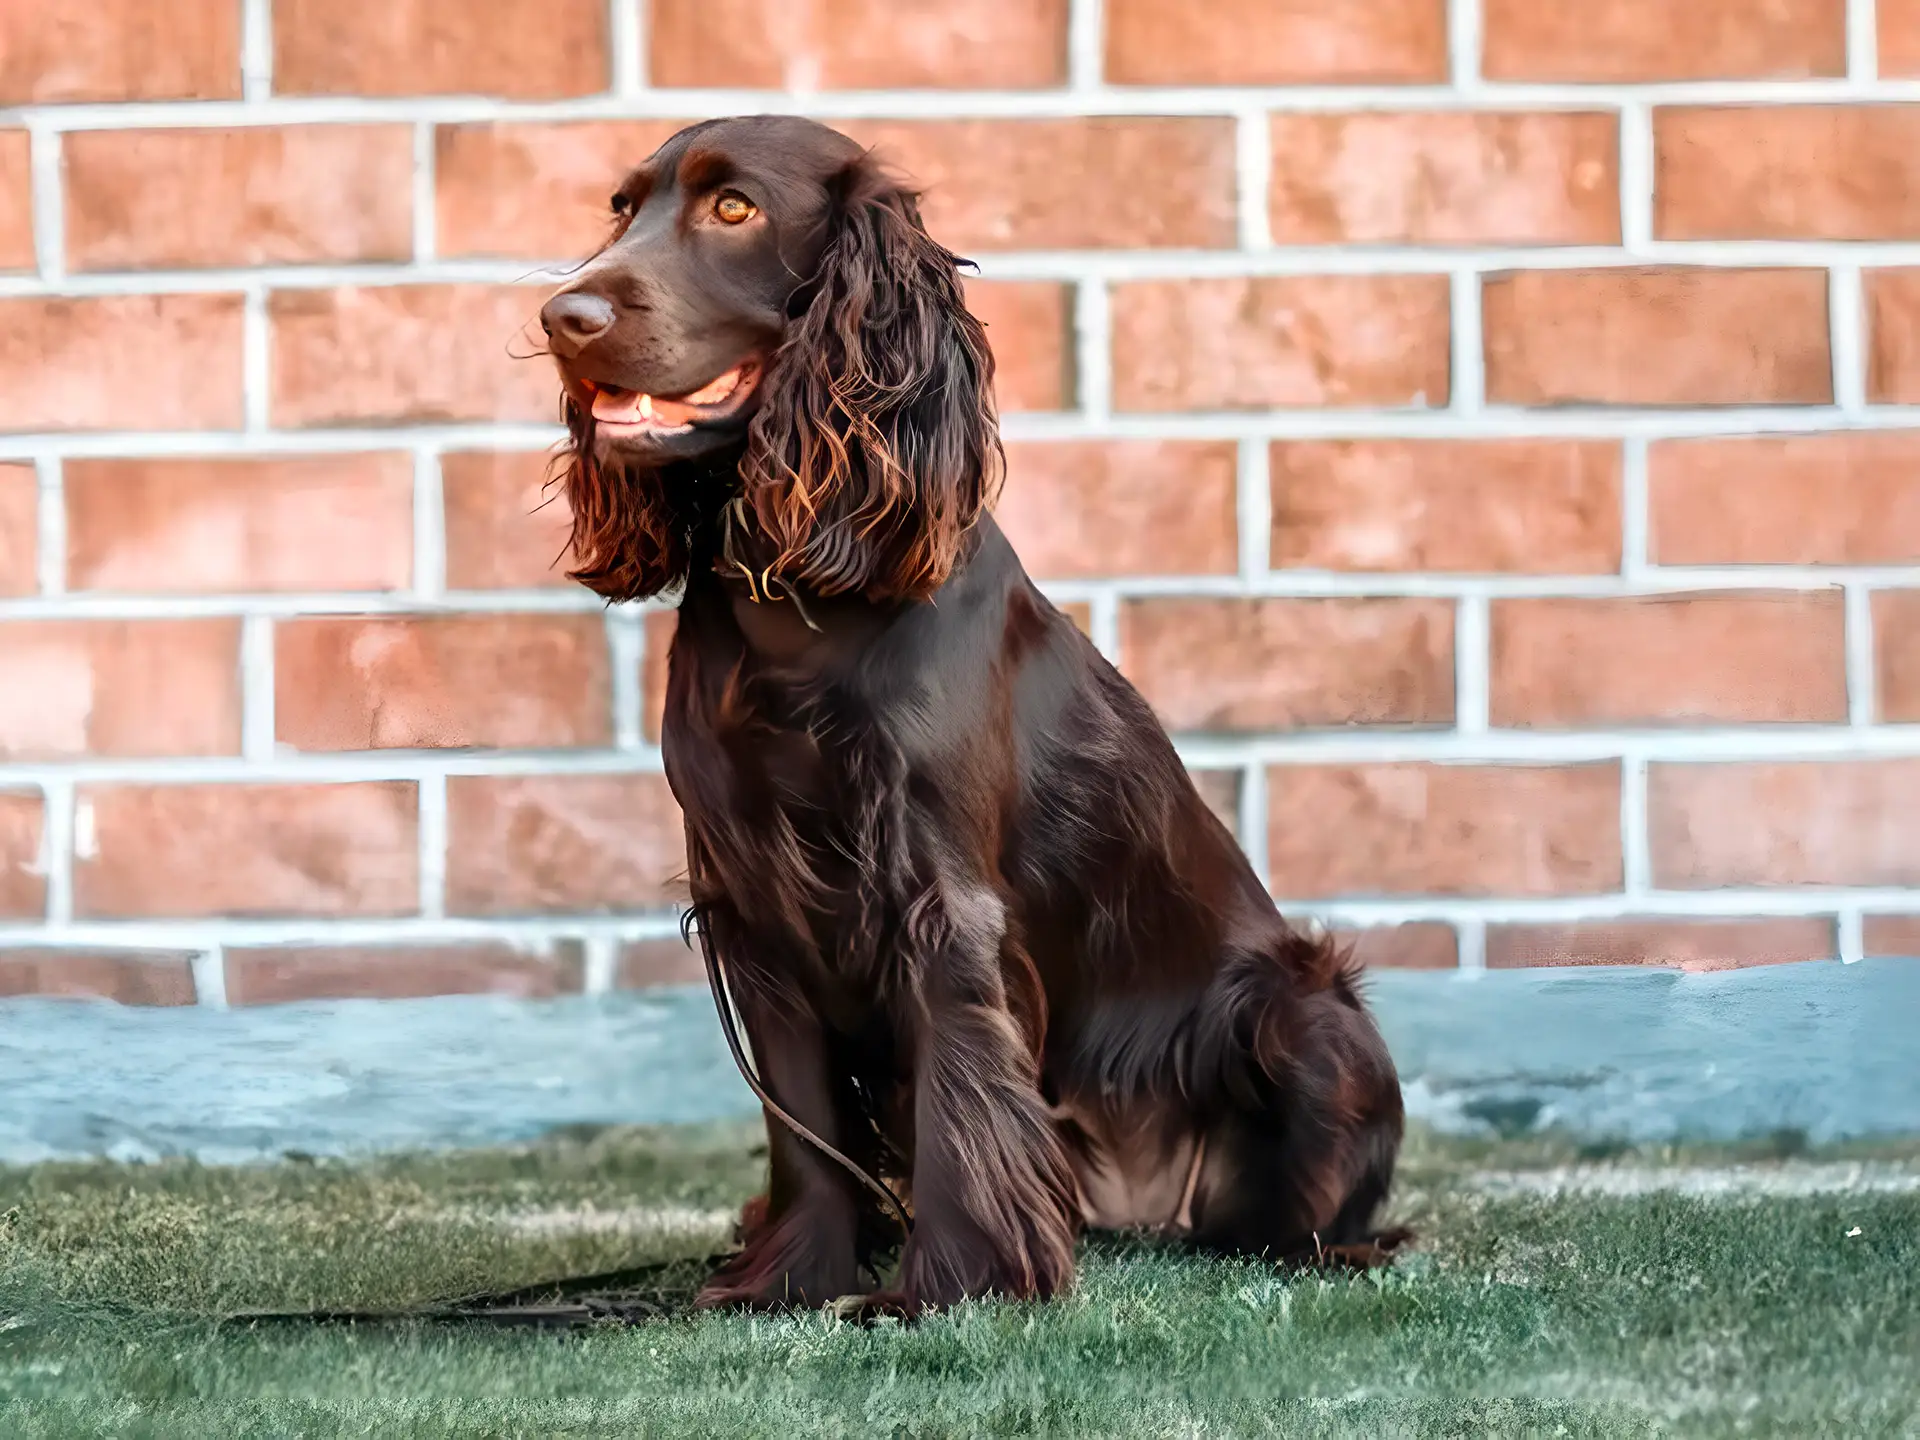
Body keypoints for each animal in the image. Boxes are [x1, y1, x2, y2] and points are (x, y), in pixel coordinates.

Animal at [541, 118, 1413, 1313]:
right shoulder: (755, 909)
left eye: (735, 210)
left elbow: (964, 1098)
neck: (797, 594)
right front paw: (791, 1282)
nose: (562, 317)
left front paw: (951, 1287)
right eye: (623, 210)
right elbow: (803, 1125)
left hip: (1307, 1011)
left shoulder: (940, 898)